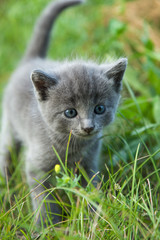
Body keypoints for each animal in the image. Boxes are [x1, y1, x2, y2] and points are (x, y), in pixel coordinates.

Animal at [0, 0, 127, 225]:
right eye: (70, 112)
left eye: (99, 109)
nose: (88, 127)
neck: (72, 146)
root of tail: (31, 60)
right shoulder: (36, 167)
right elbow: (44, 200)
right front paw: (46, 226)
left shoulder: (89, 164)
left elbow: (90, 190)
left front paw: (94, 219)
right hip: (9, 127)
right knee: (7, 155)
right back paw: (7, 192)